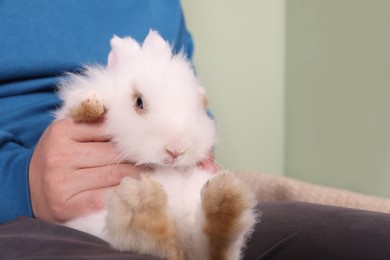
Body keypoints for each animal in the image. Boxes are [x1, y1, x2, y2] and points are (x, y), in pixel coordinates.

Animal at [54, 31, 258, 260]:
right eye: (139, 102)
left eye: (200, 104)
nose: (176, 150)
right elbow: (80, 107)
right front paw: (91, 105)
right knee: (159, 246)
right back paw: (142, 205)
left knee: (210, 250)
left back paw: (225, 200)